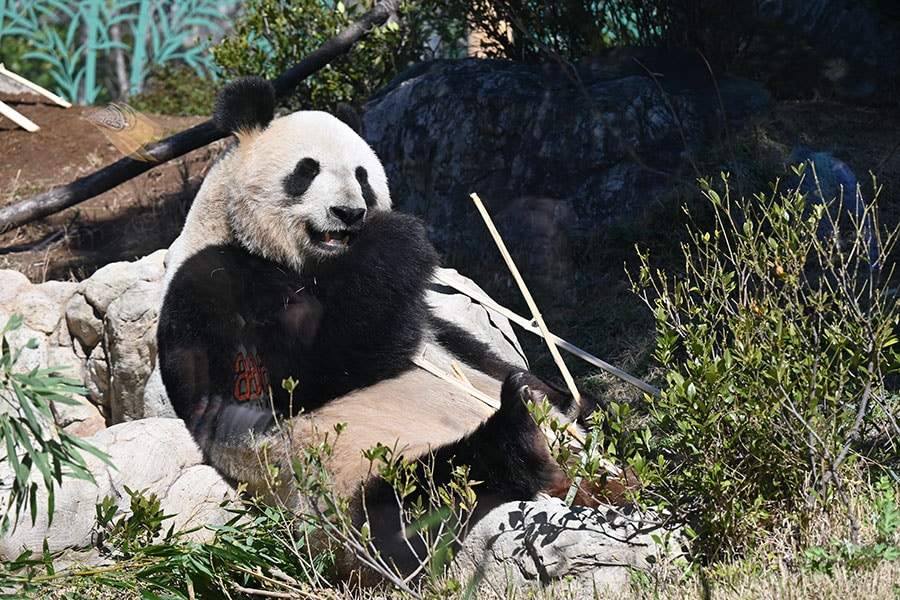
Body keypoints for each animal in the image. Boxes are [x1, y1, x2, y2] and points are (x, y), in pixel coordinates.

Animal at [160, 76, 604, 580]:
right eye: (306, 170)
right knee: (417, 503)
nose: (349, 213)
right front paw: (398, 240)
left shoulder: (433, 329)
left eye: (363, 177)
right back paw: (520, 435)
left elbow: (455, 342)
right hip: (341, 490)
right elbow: (266, 383)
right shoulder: (208, 283)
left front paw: (580, 398)